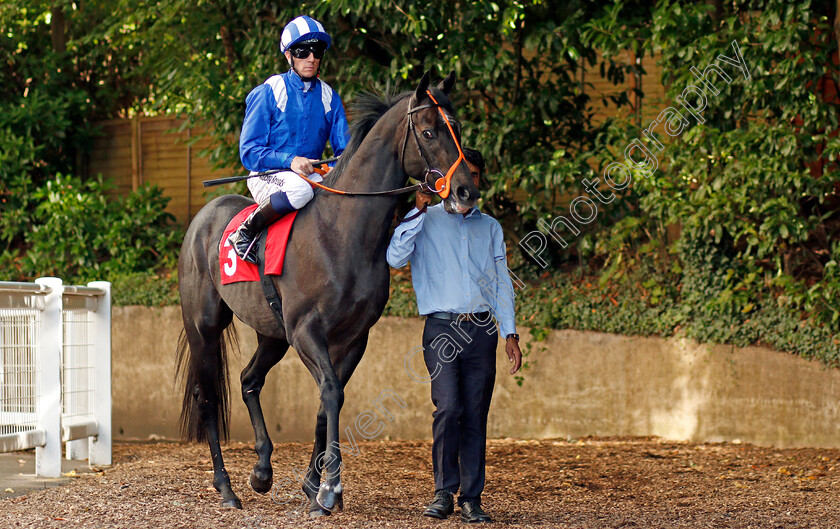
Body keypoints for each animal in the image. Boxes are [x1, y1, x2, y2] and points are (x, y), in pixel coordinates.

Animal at [176, 70, 480, 516]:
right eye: (428, 132)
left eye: (456, 128)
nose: (465, 192)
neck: (342, 232)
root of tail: (202, 217)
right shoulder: (307, 331)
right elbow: (332, 393)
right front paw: (330, 488)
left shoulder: (353, 337)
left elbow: (325, 403)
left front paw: (312, 486)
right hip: (204, 327)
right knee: (209, 396)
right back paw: (226, 487)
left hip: (272, 333)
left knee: (249, 379)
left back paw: (261, 471)